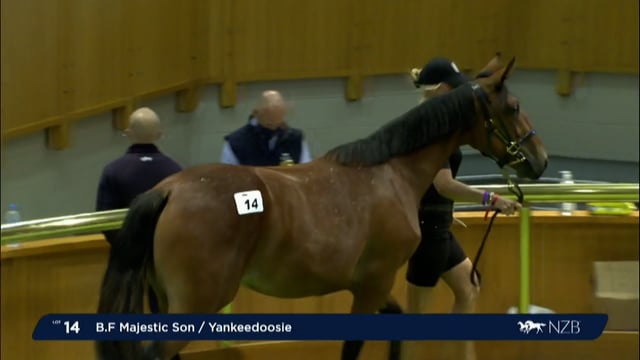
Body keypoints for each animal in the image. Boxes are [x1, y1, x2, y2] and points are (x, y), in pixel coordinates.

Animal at [97, 57, 548, 360]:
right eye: (512, 107)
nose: (539, 160)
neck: (392, 174)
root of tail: (170, 190)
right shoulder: (374, 283)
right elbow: (353, 347)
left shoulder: (369, 283)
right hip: (196, 304)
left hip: (165, 300)